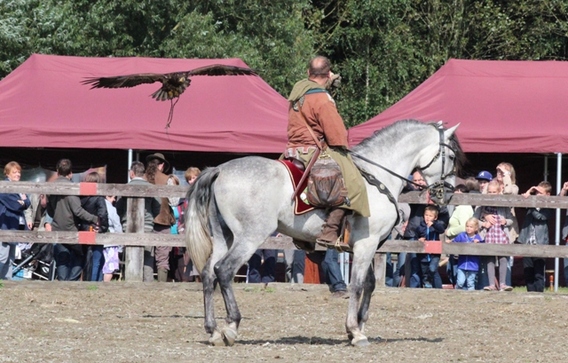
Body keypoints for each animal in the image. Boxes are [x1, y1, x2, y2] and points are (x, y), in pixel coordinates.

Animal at [184, 119, 464, 346]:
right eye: (450, 157)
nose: (448, 194)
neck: (378, 176)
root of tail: (220, 169)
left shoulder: (365, 246)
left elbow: (370, 284)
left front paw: (359, 326)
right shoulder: (366, 244)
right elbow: (357, 285)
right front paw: (355, 331)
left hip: (224, 237)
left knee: (209, 273)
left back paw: (213, 330)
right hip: (249, 237)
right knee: (224, 270)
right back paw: (231, 326)